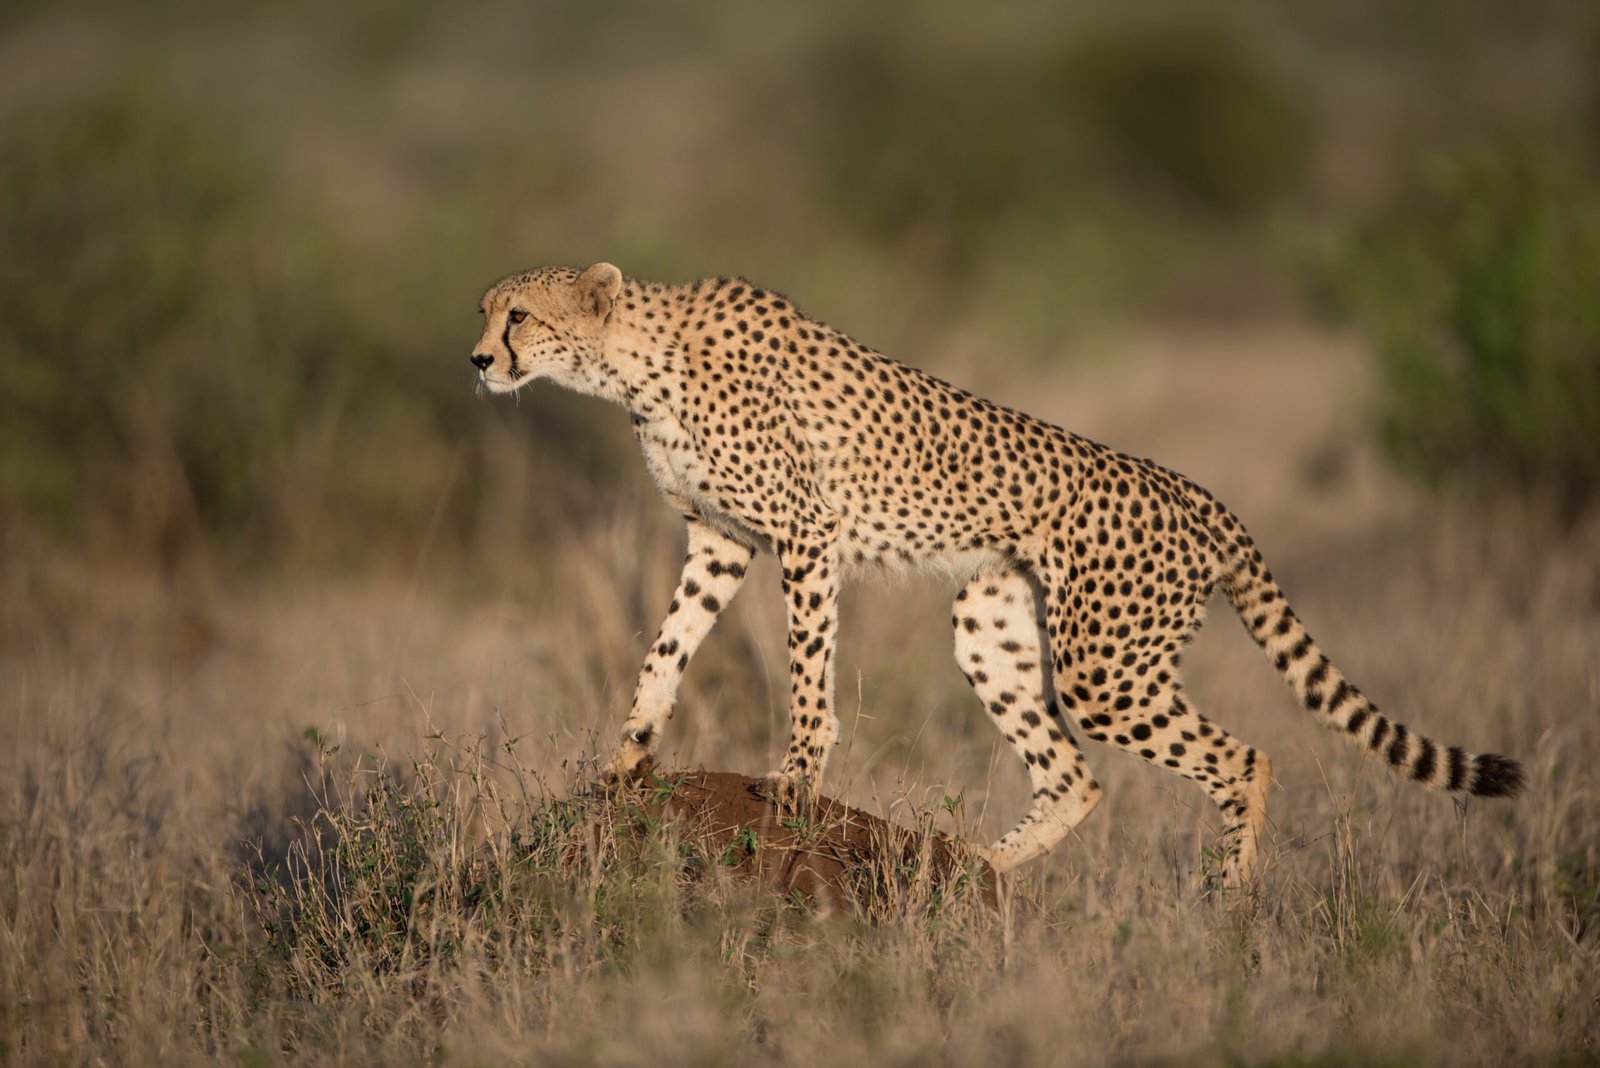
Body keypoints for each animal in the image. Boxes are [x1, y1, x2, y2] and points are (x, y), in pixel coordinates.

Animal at [469, 261, 1525, 888]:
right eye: (484, 310)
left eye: (519, 313)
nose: (478, 360)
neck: (637, 365)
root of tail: (1200, 493)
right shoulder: (719, 541)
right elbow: (668, 647)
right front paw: (627, 758)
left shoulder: (804, 536)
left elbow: (807, 669)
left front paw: (797, 783)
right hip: (993, 627)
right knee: (1077, 776)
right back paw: (980, 867)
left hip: (1105, 666)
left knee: (1244, 758)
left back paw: (1226, 907)